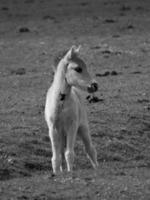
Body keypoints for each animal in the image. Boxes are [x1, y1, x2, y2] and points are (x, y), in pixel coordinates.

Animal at [44, 45, 98, 175]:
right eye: (78, 68)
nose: (94, 86)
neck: (61, 103)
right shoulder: (53, 129)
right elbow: (56, 157)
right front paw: (57, 174)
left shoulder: (72, 126)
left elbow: (69, 154)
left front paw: (70, 172)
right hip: (62, 134)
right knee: (61, 153)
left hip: (83, 127)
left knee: (90, 149)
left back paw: (96, 168)